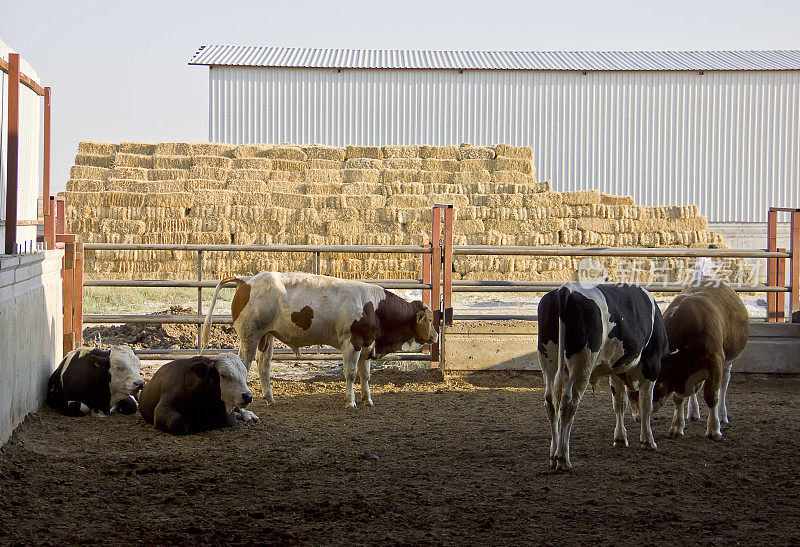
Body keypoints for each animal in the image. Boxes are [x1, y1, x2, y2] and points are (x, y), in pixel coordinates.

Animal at [200, 272, 438, 414]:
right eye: (430, 319)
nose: (435, 336)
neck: (373, 307)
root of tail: (246, 280)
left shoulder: (366, 345)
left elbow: (365, 375)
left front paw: (368, 399)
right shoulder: (351, 343)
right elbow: (351, 374)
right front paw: (350, 401)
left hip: (266, 337)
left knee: (264, 366)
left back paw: (270, 398)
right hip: (249, 336)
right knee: (243, 365)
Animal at [536, 282, 668, 470]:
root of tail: (565, 290)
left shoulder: (616, 370)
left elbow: (619, 403)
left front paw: (620, 438)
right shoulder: (652, 365)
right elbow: (645, 404)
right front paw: (648, 440)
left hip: (548, 360)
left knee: (550, 402)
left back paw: (553, 456)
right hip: (582, 363)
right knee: (568, 403)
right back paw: (563, 458)